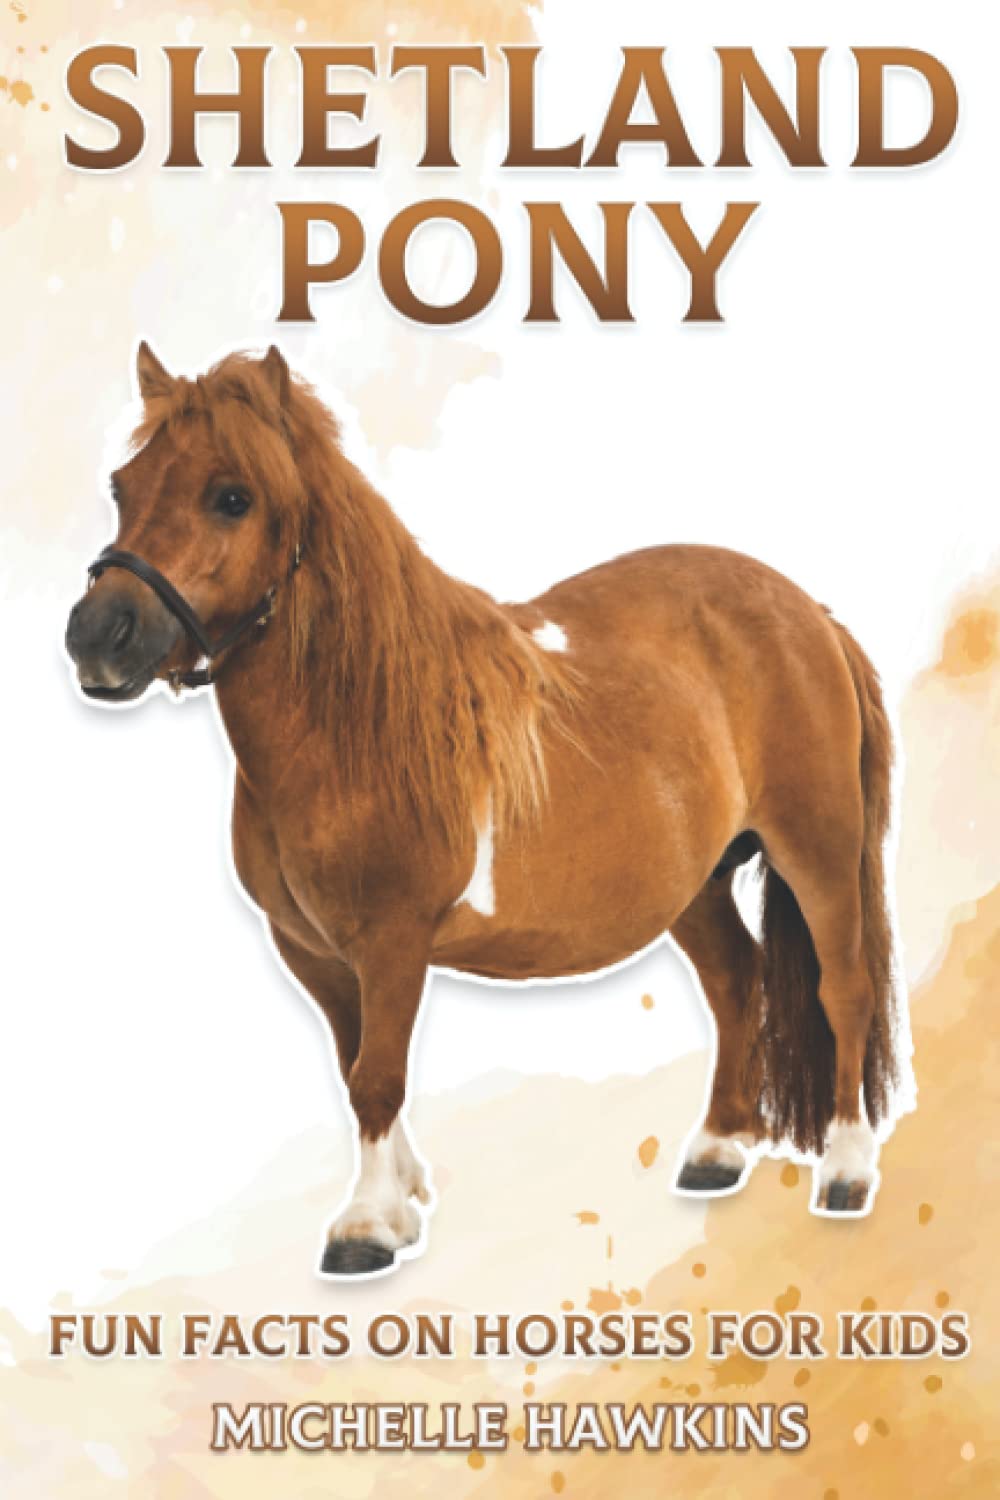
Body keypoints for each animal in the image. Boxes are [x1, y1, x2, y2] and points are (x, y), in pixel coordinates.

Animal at [65, 343, 902, 1277]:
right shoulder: (312, 950)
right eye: (123, 486)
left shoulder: (392, 942)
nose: (97, 636)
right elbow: (355, 1064)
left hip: (817, 849)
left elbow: (377, 1076)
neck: (356, 722)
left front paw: (366, 1227)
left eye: (231, 496)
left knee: (844, 988)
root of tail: (809, 613)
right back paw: (718, 1152)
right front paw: (403, 1198)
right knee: (736, 981)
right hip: (695, 883)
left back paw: (847, 1171)